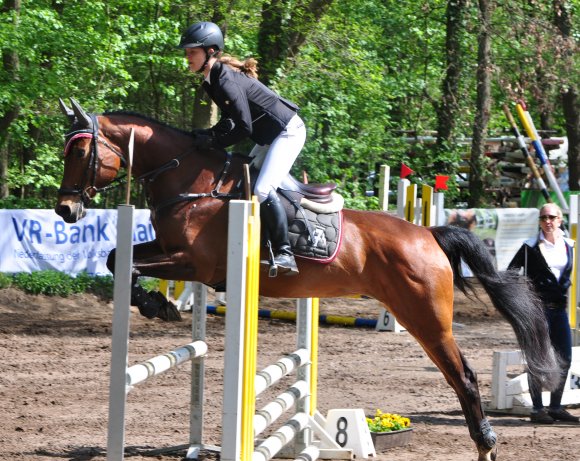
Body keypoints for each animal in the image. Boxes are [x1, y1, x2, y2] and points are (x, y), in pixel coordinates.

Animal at [56, 98, 560, 460]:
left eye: (79, 151)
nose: (65, 210)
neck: (190, 182)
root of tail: (428, 235)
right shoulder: (169, 253)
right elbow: (117, 257)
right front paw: (156, 304)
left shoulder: (194, 265)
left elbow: (129, 265)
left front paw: (155, 304)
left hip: (426, 318)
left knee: (465, 376)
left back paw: (485, 443)